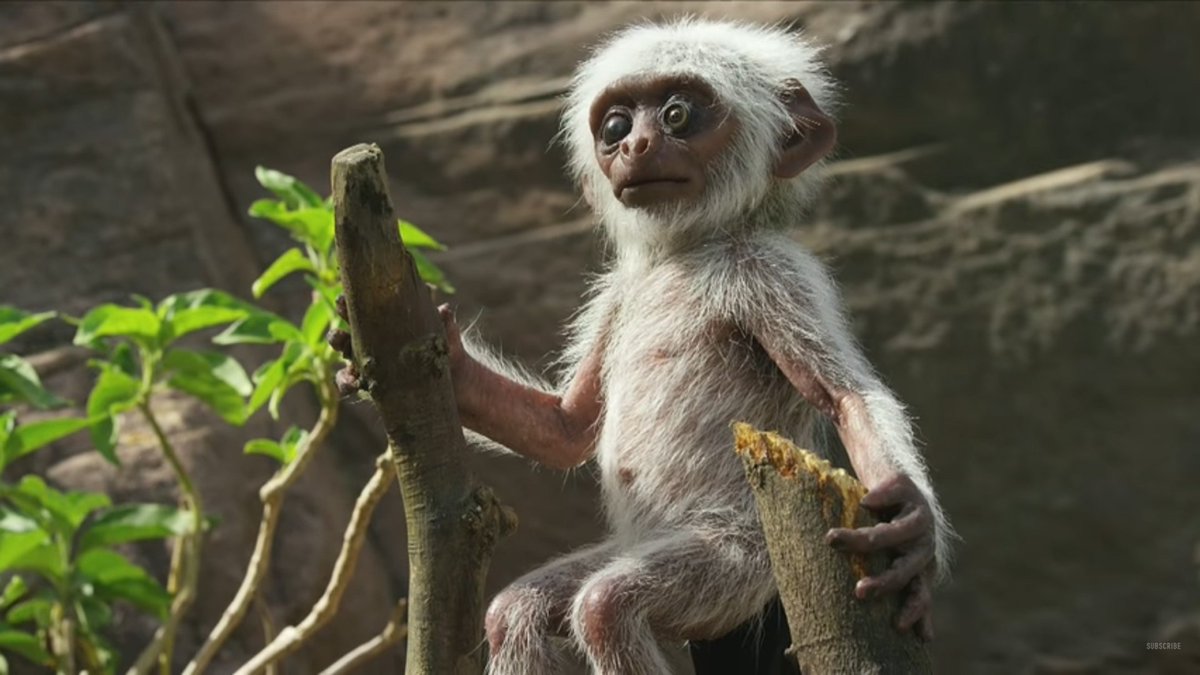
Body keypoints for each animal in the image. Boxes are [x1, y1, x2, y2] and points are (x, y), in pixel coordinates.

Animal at [332, 18, 952, 675]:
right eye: (615, 127)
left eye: (679, 115)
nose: (636, 145)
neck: (682, 254)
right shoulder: (617, 295)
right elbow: (566, 426)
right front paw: (432, 351)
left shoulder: (772, 272)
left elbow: (846, 395)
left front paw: (912, 519)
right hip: (636, 550)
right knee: (519, 610)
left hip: (738, 563)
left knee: (607, 605)